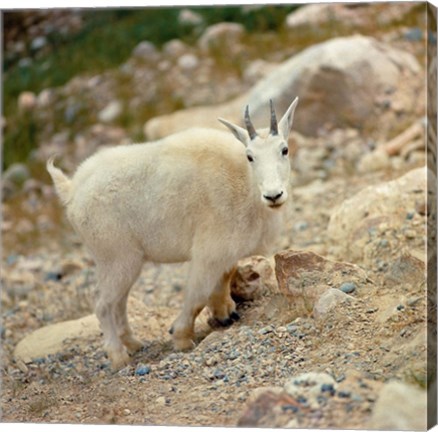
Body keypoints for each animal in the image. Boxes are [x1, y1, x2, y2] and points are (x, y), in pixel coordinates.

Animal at [48, 97, 300, 368]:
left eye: (284, 150)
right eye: (250, 156)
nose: (273, 195)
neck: (245, 182)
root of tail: (72, 190)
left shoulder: (225, 250)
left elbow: (224, 278)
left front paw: (225, 314)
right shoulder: (209, 249)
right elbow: (197, 295)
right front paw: (181, 338)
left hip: (123, 262)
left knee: (119, 302)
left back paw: (134, 344)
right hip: (116, 256)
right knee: (103, 304)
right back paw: (118, 357)